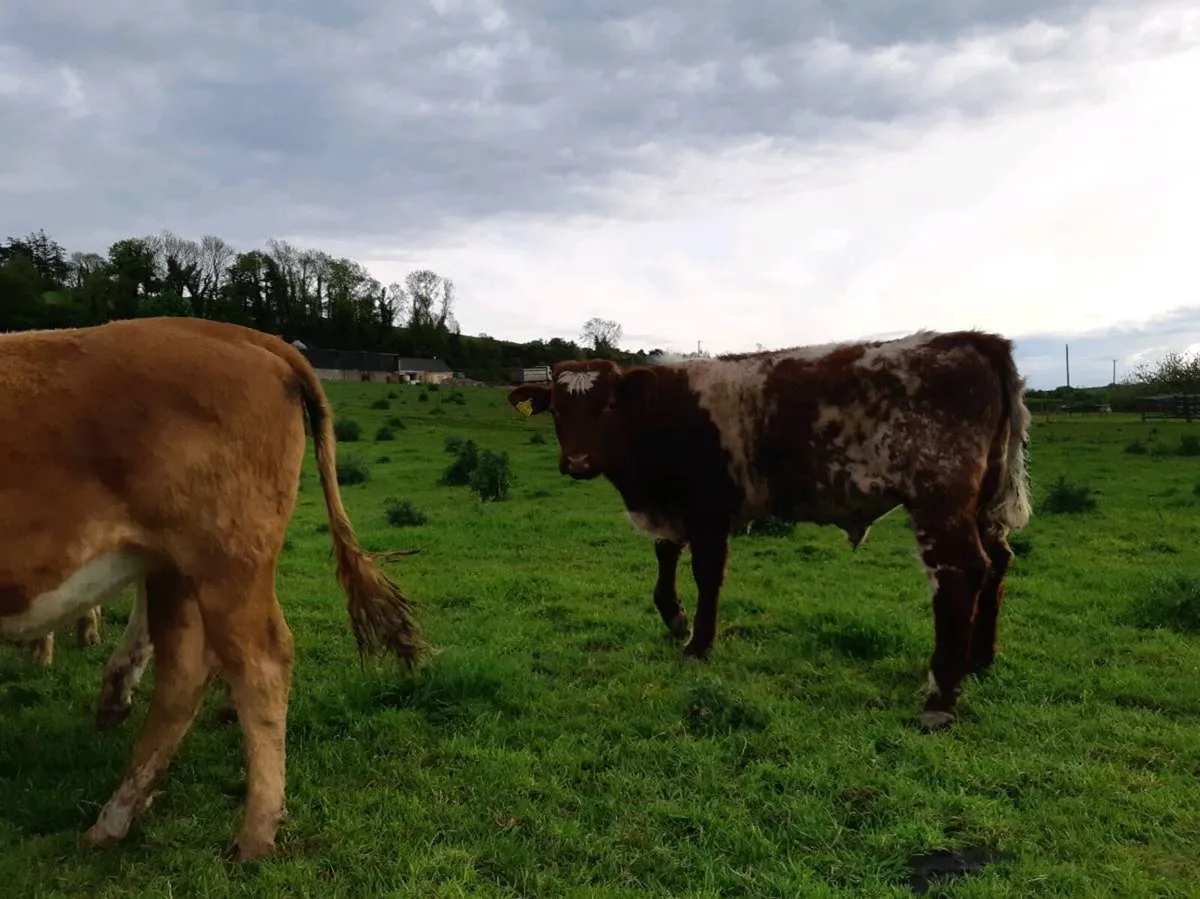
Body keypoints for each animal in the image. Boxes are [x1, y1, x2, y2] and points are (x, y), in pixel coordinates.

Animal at [0, 316, 430, 860]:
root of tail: (234, 333)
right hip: (175, 564)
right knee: (185, 671)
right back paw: (118, 807)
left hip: (223, 561)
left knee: (257, 663)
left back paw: (254, 834)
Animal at [507, 330, 1031, 732]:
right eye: (557, 410)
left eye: (609, 405)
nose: (578, 462)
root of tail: (972, 340)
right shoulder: (675, 507)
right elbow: (665, 553)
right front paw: (674, 617)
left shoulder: (708, 509)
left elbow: (706, 574)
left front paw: (698, 644)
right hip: (982, 501)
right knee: (998, 562)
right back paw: (980, 658)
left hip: (939, 499)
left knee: (961, 573)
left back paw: (940, 697)